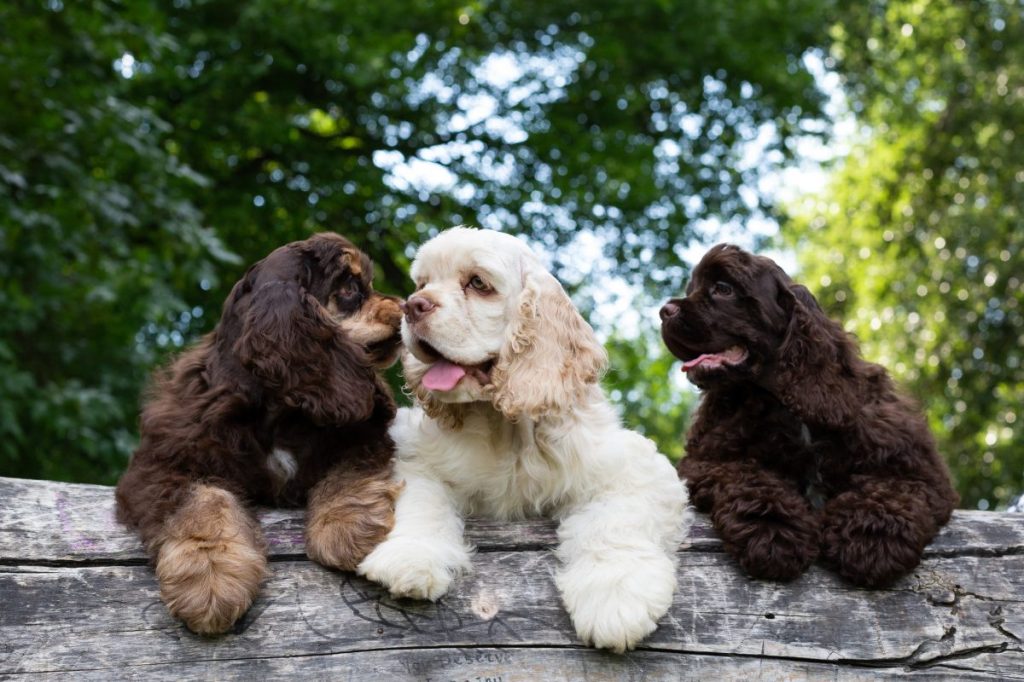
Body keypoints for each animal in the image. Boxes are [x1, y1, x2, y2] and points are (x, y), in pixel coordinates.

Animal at [117, 233, 403, 630]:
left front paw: (343, 526)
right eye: (349, 288)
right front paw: (210, 575)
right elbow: (204, 500)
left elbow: (348, 470)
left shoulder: (364, 435)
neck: (279, 408)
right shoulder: (162, 465)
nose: (407, 307)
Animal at [356, 225, 692, 651]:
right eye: (422, 284)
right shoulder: (415, 455)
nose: (412, 306)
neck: (506, 427)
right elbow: (421, 501)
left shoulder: (633, 468)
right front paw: (410, 558)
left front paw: (615, 599)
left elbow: (616, 522)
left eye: (478, 283)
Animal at [659, 244, 954, 585]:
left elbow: (890, 490)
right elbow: (749, 476)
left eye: (723, 288)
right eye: (690, 289)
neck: (788, 404)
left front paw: (870, 539)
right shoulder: (706, 460)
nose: (665, 311)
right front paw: (774, 531)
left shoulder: (915, 466)